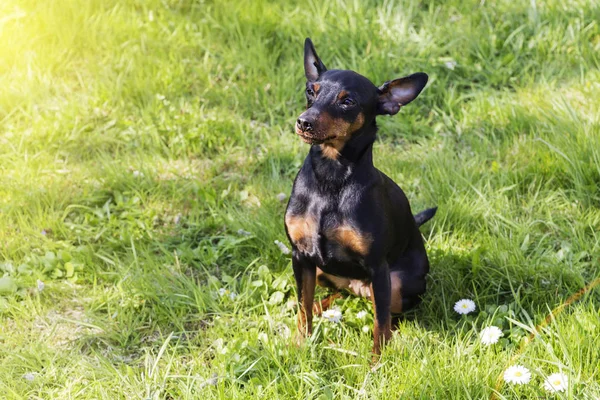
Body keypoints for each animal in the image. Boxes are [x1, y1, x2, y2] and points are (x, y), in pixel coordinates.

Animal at [286, 38, 436, 354]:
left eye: (348, 101)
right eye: (310, 91)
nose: (303, 122)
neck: (330, 179)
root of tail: (358, 287)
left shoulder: (378, 268)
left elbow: (380, 324)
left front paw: (378, 362)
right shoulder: (300, 256)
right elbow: (303, 307)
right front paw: (301, 344)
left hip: (396, 283)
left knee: (389, 314)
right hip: (321, 271)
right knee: (332, 297)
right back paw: (321, 308)